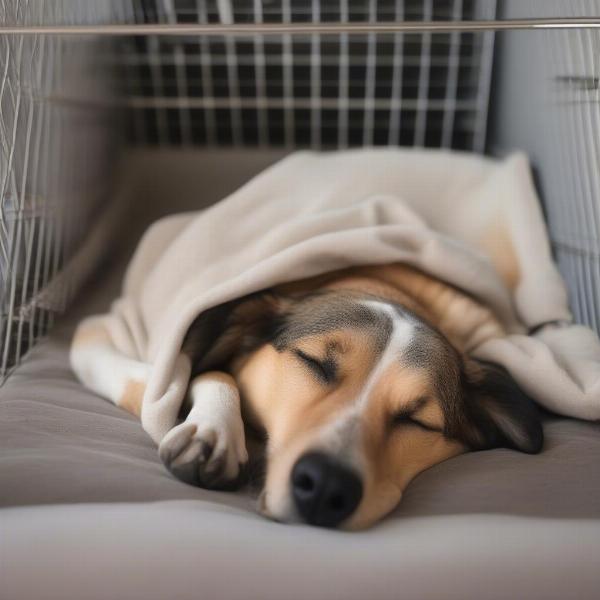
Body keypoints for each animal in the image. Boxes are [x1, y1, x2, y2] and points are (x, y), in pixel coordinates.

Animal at [71, 262, 544, 528]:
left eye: (415, 419)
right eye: (314, 362)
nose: (325, 487)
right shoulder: (97, 334)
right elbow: (193, 376)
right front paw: (212, 431)